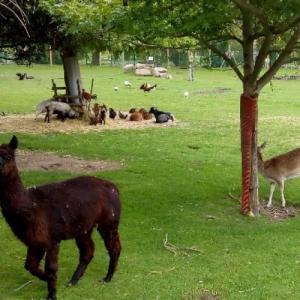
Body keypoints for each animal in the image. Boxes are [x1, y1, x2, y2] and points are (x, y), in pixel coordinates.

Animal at [0, 137, 122, 300]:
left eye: (8, 156)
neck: (31, 206)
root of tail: (113, 186)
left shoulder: (52, 239)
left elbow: (51, 268)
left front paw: (51, 294)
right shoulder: (35, 241)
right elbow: (30, 266)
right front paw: (46, 280)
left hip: (108, 222)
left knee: (114, 248)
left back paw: (107, 278)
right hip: (83, 227)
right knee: (88, 251)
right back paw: (73, 280)